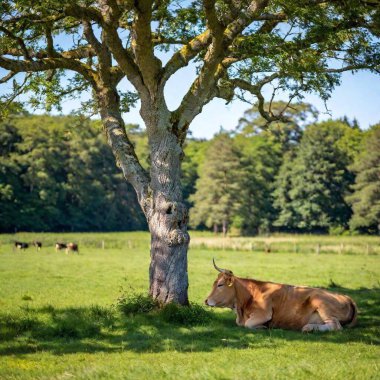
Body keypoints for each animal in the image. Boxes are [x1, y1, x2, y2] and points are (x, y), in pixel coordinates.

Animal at [205, 258, 356, 332]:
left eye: (220, 285)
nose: (206, 300)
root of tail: (346, 297)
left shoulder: (264, 314)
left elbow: (248, 324)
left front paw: (263, 327)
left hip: (320, 302)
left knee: (335, 326)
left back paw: (308, 327)